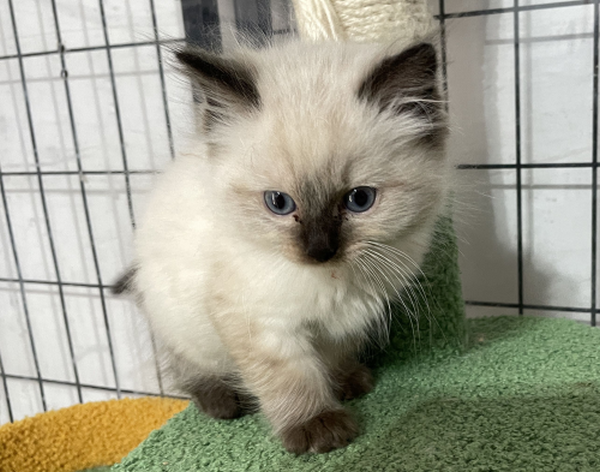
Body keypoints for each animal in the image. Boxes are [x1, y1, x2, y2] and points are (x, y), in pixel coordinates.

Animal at [115, 37, 448, 454]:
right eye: (279, 203)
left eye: (359, 199)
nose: (320, 251)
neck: (332, 280)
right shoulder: (259, 319)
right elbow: (291, 379)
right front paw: (319, 429)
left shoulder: (347, 319)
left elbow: (333, 357)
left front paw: (346, 383)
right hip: (179, 322)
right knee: (185, 367)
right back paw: (223, 401)